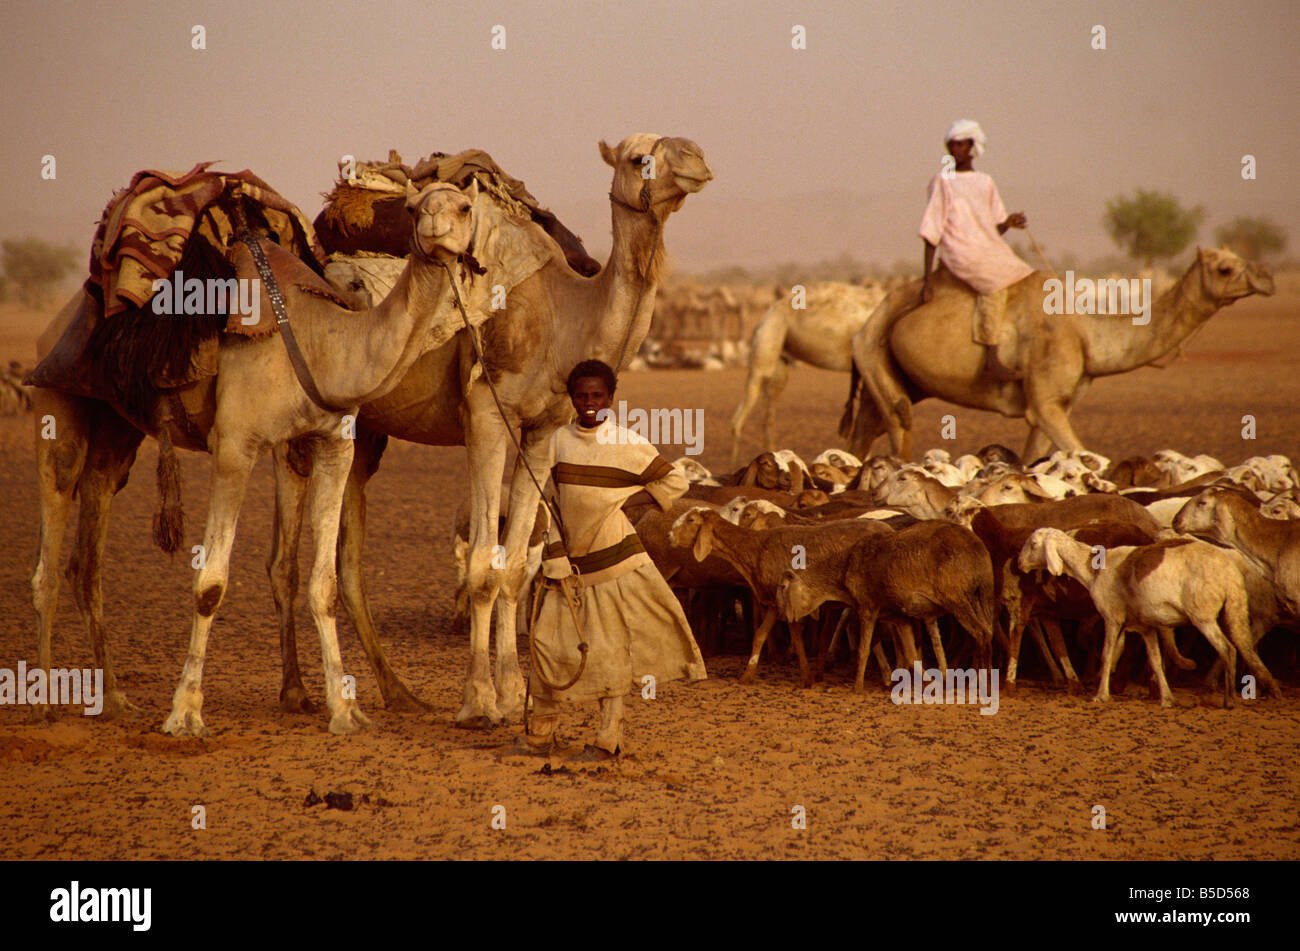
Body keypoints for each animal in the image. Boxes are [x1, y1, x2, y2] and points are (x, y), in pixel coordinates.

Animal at [30, 185, 478, 737]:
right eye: (415, 209)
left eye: (464, 208)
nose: (436, 223)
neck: (321, 343)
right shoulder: (234, 446)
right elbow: (211, 584)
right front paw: (185, 713)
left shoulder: (335, 443)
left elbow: (325, 585)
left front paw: (345, 711)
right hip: (57, 396)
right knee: (53, 533)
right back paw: (45, 704)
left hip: (119, 426)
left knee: (89, 549)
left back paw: (113, 699)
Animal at [769, 519, 993, 691]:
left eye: (783, 587)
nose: (781, 615)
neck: (843, 569)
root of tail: (978, 550)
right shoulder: (897, 617)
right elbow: (910, 654)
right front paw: (926, 681)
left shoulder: (867, 608)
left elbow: (864, 649)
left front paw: (857, 687)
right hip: (979, 596)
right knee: (987, 633)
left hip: (957, 598)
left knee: (979, 634)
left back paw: (980, 682)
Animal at [842, 246, 1279, 462]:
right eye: (1225, 269)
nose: (1268, 277)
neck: (1089, 333)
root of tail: (869, 318)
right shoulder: (1046, 401)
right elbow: (1082, 454)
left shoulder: (1053, 405)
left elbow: (1031, 459)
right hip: (873, 352)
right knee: (898, 420)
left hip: (893, 373)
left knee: (865, 428)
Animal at [1013, 530, 1248, 711]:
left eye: (1033, 544)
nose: (1019, 563)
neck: (1092, 569)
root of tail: (1230, 574)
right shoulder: (1146, 627)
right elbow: (1155, 661)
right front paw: (1167, 699)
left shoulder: (1112, 617)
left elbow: (1106, 655)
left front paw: (1100, 695)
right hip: (1233, 609)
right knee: (1237, 645)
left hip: (1203, 614)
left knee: (1227, 649)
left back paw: (1228, 701)